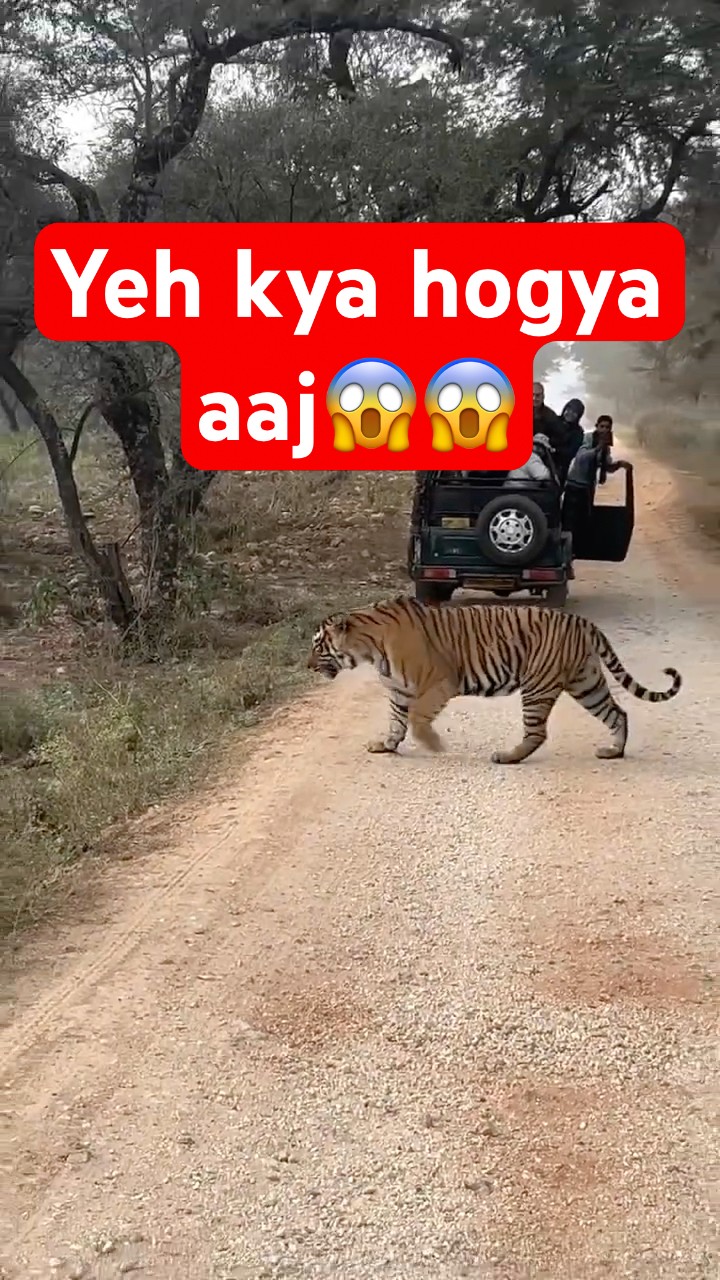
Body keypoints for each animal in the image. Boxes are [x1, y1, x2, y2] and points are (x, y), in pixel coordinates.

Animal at [306, 595, 682, 764]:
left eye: (318, 645)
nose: (308, 666)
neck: (369, 648)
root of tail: (582, 622)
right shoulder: (399, 690)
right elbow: (397, 721)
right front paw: (386, 745)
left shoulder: (440, 683)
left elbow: (417, 718)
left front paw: (434, 745)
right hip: (586, 682)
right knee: (618, 713)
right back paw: (613, 751)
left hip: (538, 686)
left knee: (537, 732)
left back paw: (508, 756)